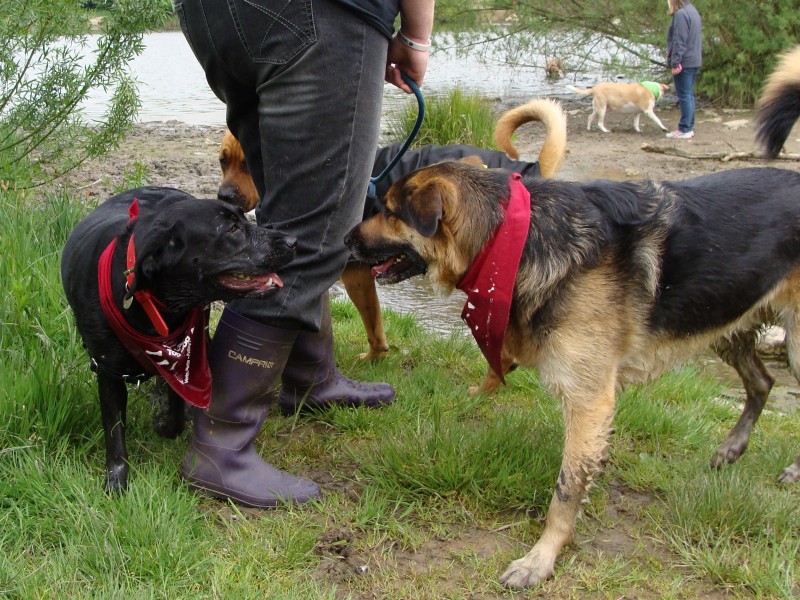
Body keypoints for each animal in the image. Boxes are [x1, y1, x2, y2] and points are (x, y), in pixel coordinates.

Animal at [61, 188, 296, 492]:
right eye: (231, 229)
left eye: (244, 220)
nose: (293, 241)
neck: (154, 303)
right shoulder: (108, 372)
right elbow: (114, 433)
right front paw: (116, 483)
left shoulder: (185, 352)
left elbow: (175, 411)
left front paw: (164, 423)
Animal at [214, 98, 564, 360]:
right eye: (223, 161)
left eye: (248, 165)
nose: (224, 197)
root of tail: (533, 168)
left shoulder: (356, 274)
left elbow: (372, 326)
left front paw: (373, 358)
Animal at [346, 113, 800, 584]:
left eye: (390, 212)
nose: (345, 238)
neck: (513, 238)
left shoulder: (589, 403)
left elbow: (566, 490)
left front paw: (541, 559)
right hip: (726, 319)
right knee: (762, 382)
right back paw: (733, 447)